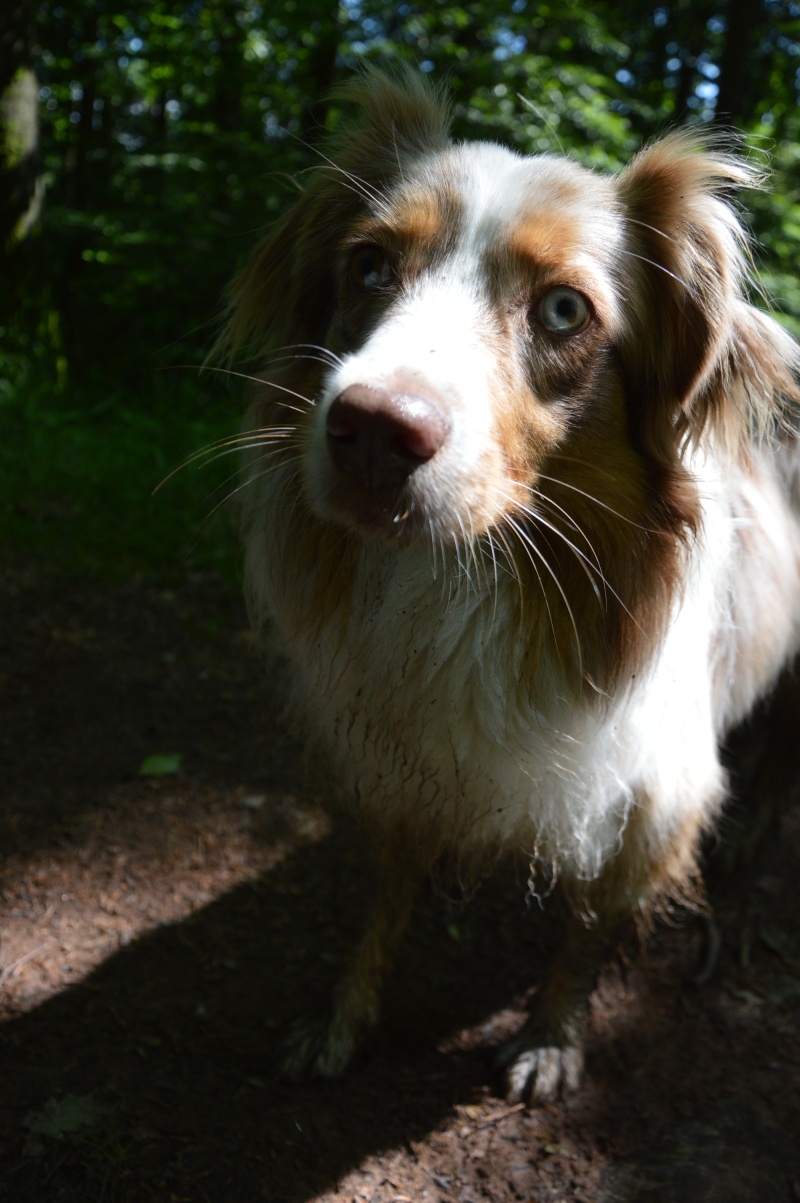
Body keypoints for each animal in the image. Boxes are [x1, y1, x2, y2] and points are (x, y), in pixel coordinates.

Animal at [216, 65, 798, 1101]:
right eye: (369, 267)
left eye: (564, 310)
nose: (373, 432)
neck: (477, 580)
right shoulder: (406, 752)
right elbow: (386, 903)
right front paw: (345, 1017)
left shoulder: (652, 794)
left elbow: (589, 927)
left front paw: (552, 1036)